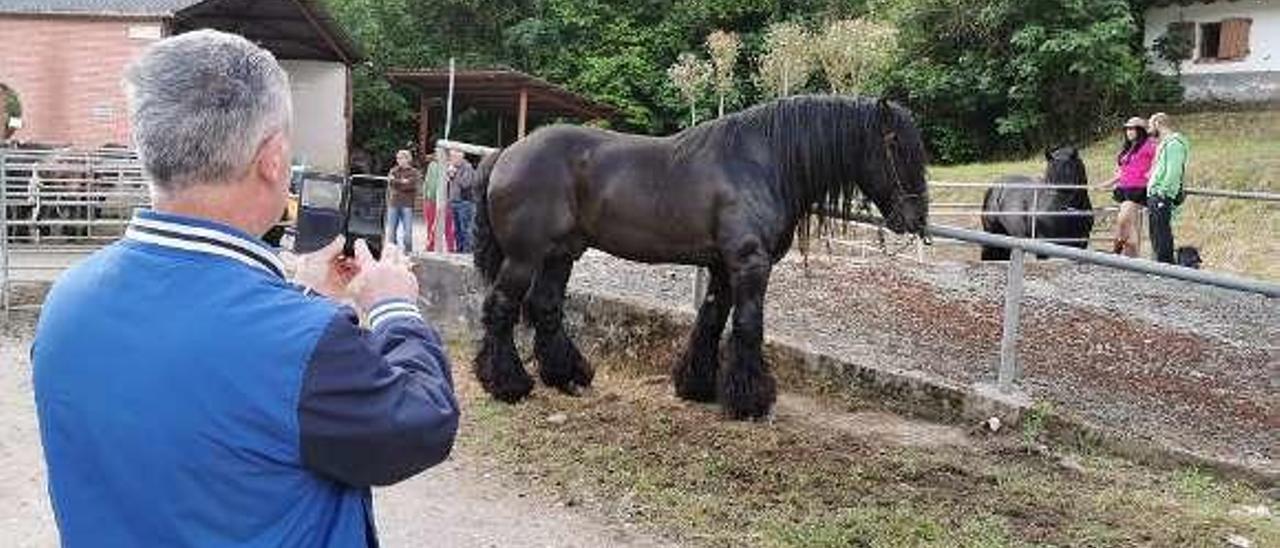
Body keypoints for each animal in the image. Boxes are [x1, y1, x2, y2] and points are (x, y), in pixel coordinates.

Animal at [471, 95, 931, 419]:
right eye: (895, 145)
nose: (917, 218)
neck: (760, 164)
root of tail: (506, 153)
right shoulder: (749, 264)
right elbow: (747, 326)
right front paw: (750, 401)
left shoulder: (722, 267)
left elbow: (711, 320)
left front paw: (698, 387)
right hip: (524, 258)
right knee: (501, 309)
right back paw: (508, 385)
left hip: (561, 254)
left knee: (546, 307)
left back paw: (568, 376)